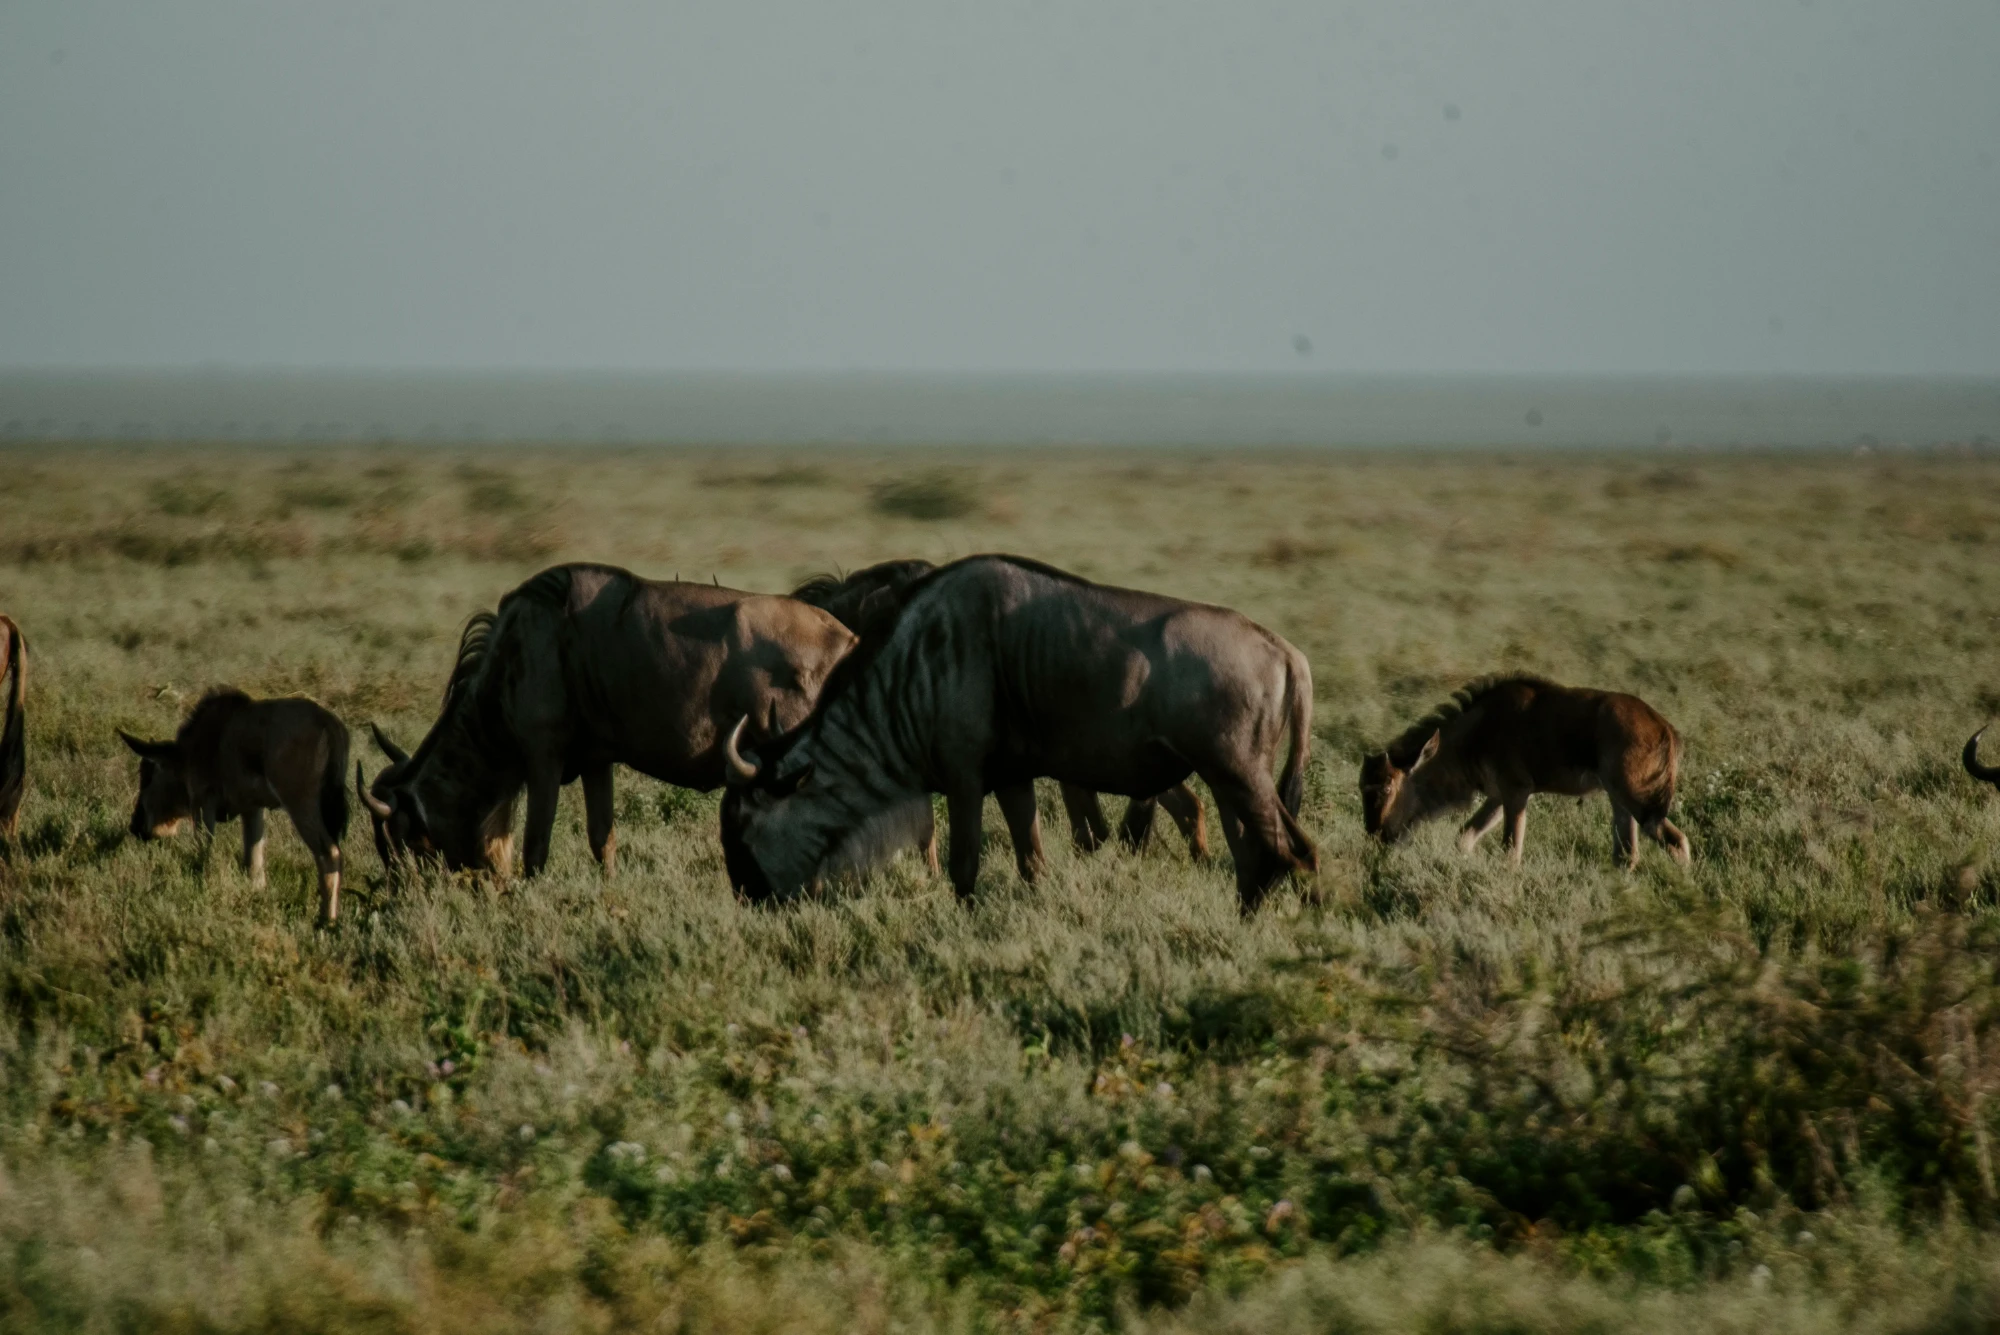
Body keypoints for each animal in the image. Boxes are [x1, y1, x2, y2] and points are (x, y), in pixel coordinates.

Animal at [120, 690, 351, 923]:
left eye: (147, 777)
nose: (135, 826)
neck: (189, 752)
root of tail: (328, 723)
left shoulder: (202, 805)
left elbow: (204, 853)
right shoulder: (253, 810)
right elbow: (254, 862)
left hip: (301, 806)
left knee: (329, 853)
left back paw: (326, 920)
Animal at [357, 562, 922, 880]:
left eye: (406, 842)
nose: (407, 897)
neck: (511, 655)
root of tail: (849, 638)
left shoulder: (543, 758)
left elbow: (538, 844)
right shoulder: (596, 761)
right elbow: (601, 838)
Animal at [1360, 676, 1691, 868]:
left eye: (1387, 788)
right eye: (1362, 788)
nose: (1376, 836)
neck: (1475, 732)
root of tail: (1666, 729)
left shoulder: (1516, 792)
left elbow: (1510, 852)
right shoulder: (1498, 797)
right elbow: (1465, 838)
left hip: (1639, 801)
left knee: (1675, 841)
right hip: (1619, 800)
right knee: (1626, 855)